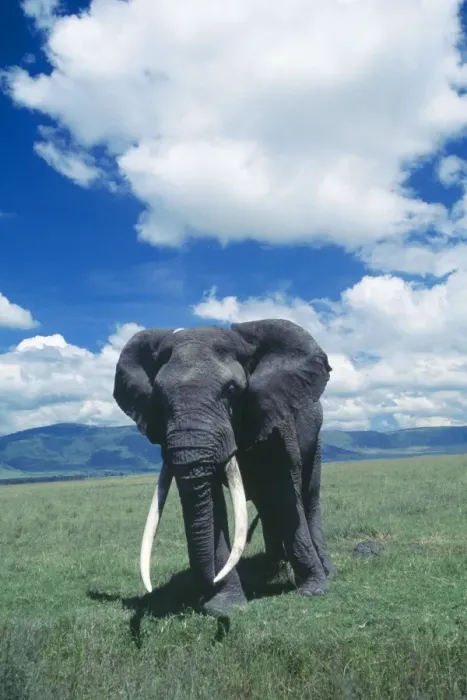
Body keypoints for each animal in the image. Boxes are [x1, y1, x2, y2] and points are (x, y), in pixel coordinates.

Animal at [113, 318, 335, 616]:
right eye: (158, 398)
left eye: (231, 391)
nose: (201, 592)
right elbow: (211, 503)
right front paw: (225, 605)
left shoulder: (276, 419)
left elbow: (285, 494)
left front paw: (313, 591)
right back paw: (272, 568)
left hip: (316, 437)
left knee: (308, 497)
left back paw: (324, 570)